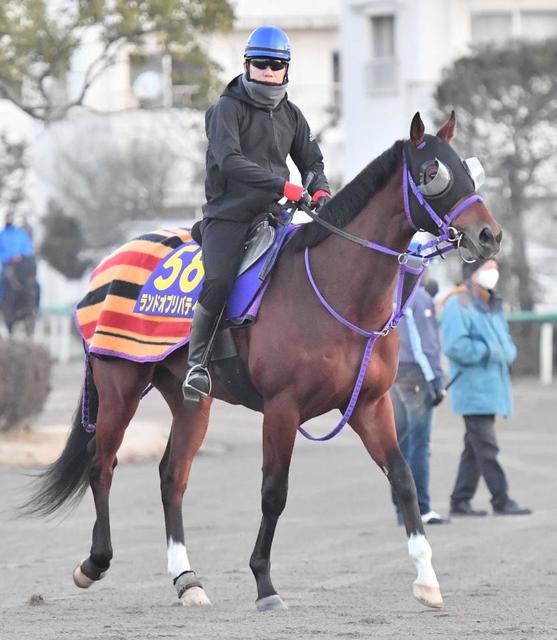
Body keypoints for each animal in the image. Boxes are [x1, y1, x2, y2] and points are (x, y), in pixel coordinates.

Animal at [23, 113, 502, 612]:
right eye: (432, 172)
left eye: (470, 169)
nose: (489, 235)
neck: (333, 288)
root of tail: (109, 263)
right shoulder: (282, 407)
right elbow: (274, 493)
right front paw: (265, 584)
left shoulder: (369, 405)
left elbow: (404, 478)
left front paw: (427, 579)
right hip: (119, 385)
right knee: (102, 465)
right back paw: (94, 562)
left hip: (191, 400)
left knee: (173, 476)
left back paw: (187, 579)